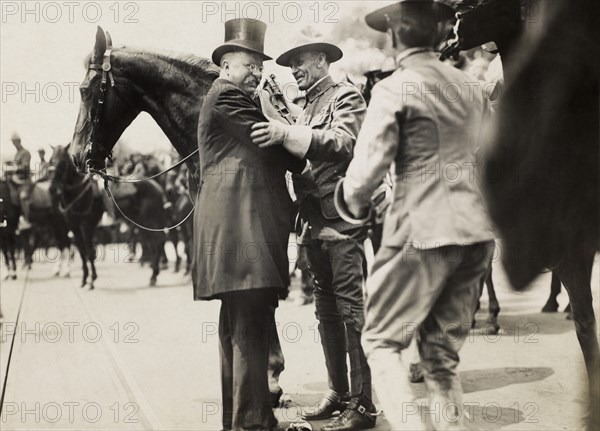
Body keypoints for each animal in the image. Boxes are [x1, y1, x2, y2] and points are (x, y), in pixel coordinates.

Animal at [49, 145, 104, 290]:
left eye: (62, 162)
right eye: (50, 160)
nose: (52, 189)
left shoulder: (85, 225)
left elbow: (89, 251)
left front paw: (92, 279)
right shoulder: (73, 226)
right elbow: (82, 251)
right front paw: (85, 278)